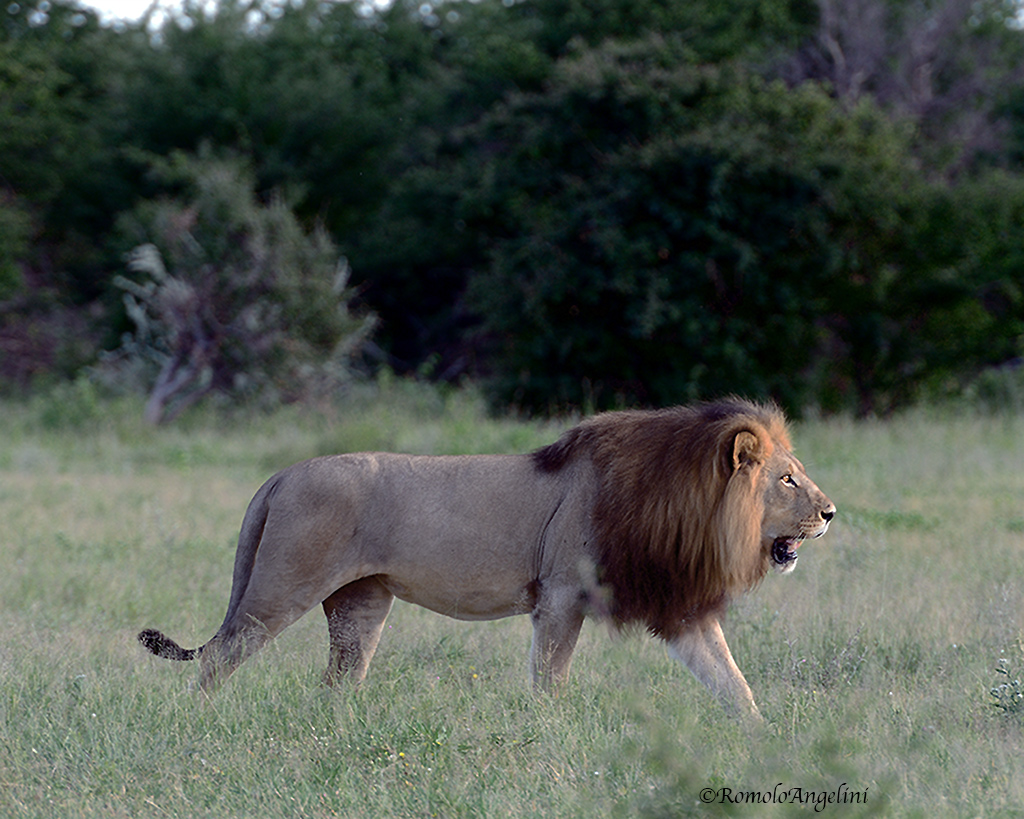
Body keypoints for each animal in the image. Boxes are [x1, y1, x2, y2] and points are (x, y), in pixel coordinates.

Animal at [138, 398, 835, 718]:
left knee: (337, 680)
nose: (831, 513)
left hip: (361, 604)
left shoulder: (681, 608)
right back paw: (198, 722)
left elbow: (733, 683)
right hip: (282, 589)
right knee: (220, 658)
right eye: (788, 479)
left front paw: (764, 742)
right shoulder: (560, 598)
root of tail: (282, 473)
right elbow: (550, 680)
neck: (690, 512)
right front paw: (550, 732)